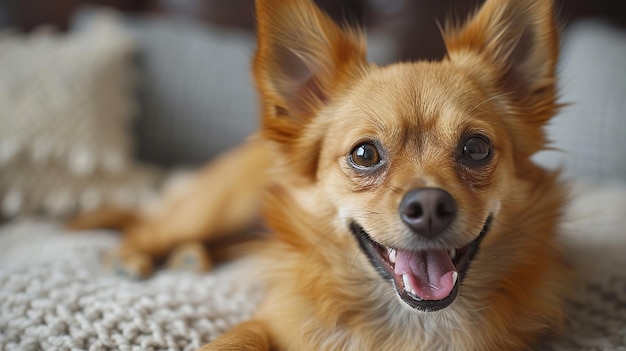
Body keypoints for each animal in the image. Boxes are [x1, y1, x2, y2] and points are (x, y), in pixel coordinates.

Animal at [69, 0, 572, 350]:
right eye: (365, 154)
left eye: (476, 148)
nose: (429, 205)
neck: (415, 325)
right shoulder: (269, 320)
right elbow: (235, 340)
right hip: (218, 208)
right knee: (146, 229)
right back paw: (134, 256)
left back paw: (193, 257)